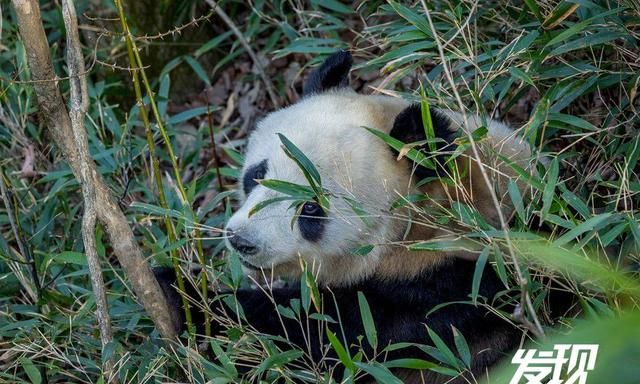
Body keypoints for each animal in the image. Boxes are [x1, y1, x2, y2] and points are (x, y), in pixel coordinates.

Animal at [156, 51, 536, 384]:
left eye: (311, 208)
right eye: (258, 175)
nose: (242, 241)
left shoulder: (440, 301)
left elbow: (307, 337)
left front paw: (183, 296)